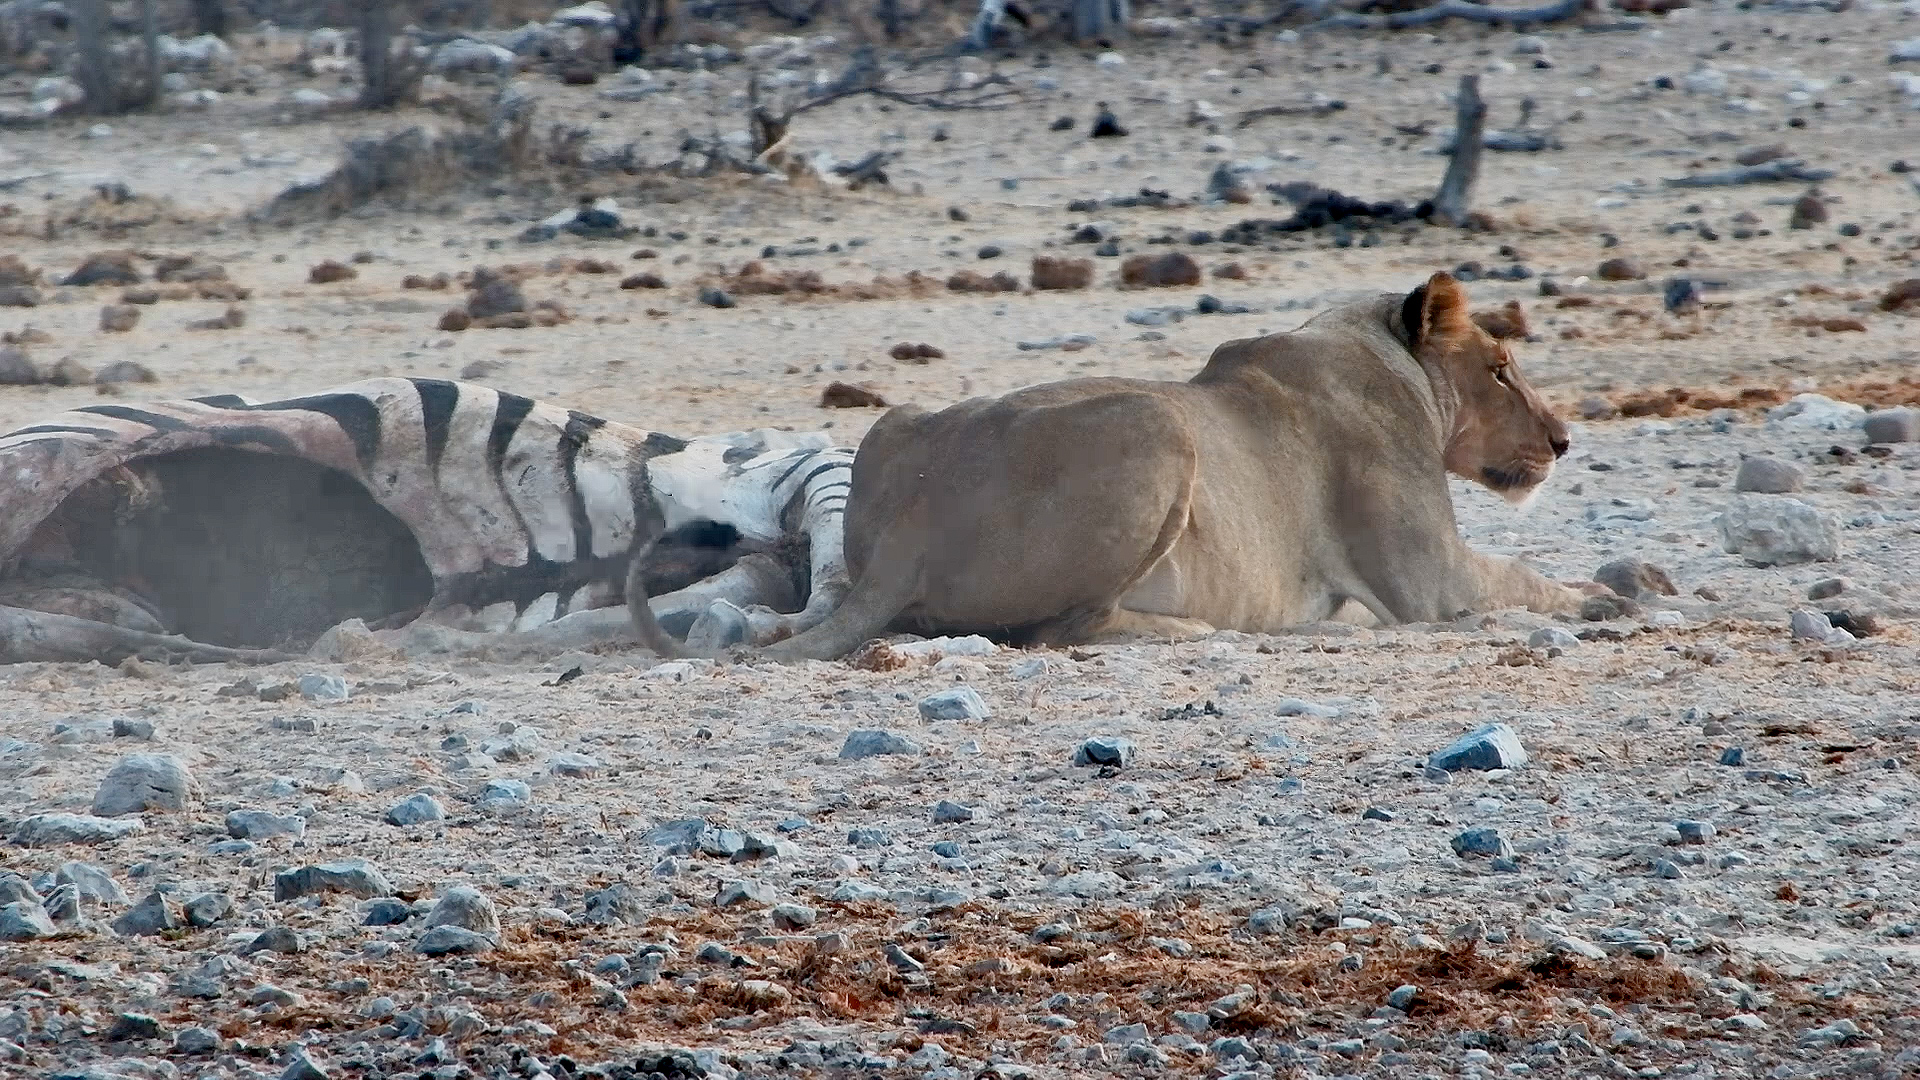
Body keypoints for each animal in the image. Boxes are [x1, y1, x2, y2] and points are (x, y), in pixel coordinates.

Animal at [760, 271, 1590, 661]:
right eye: (1501, 369)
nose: (1562, 440)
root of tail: (911, 524)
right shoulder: (1430, 581)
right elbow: (1523, 578)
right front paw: (1607, 594)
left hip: (892, 421)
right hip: (1157, 424)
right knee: (1062, 627)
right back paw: (1200, 628)